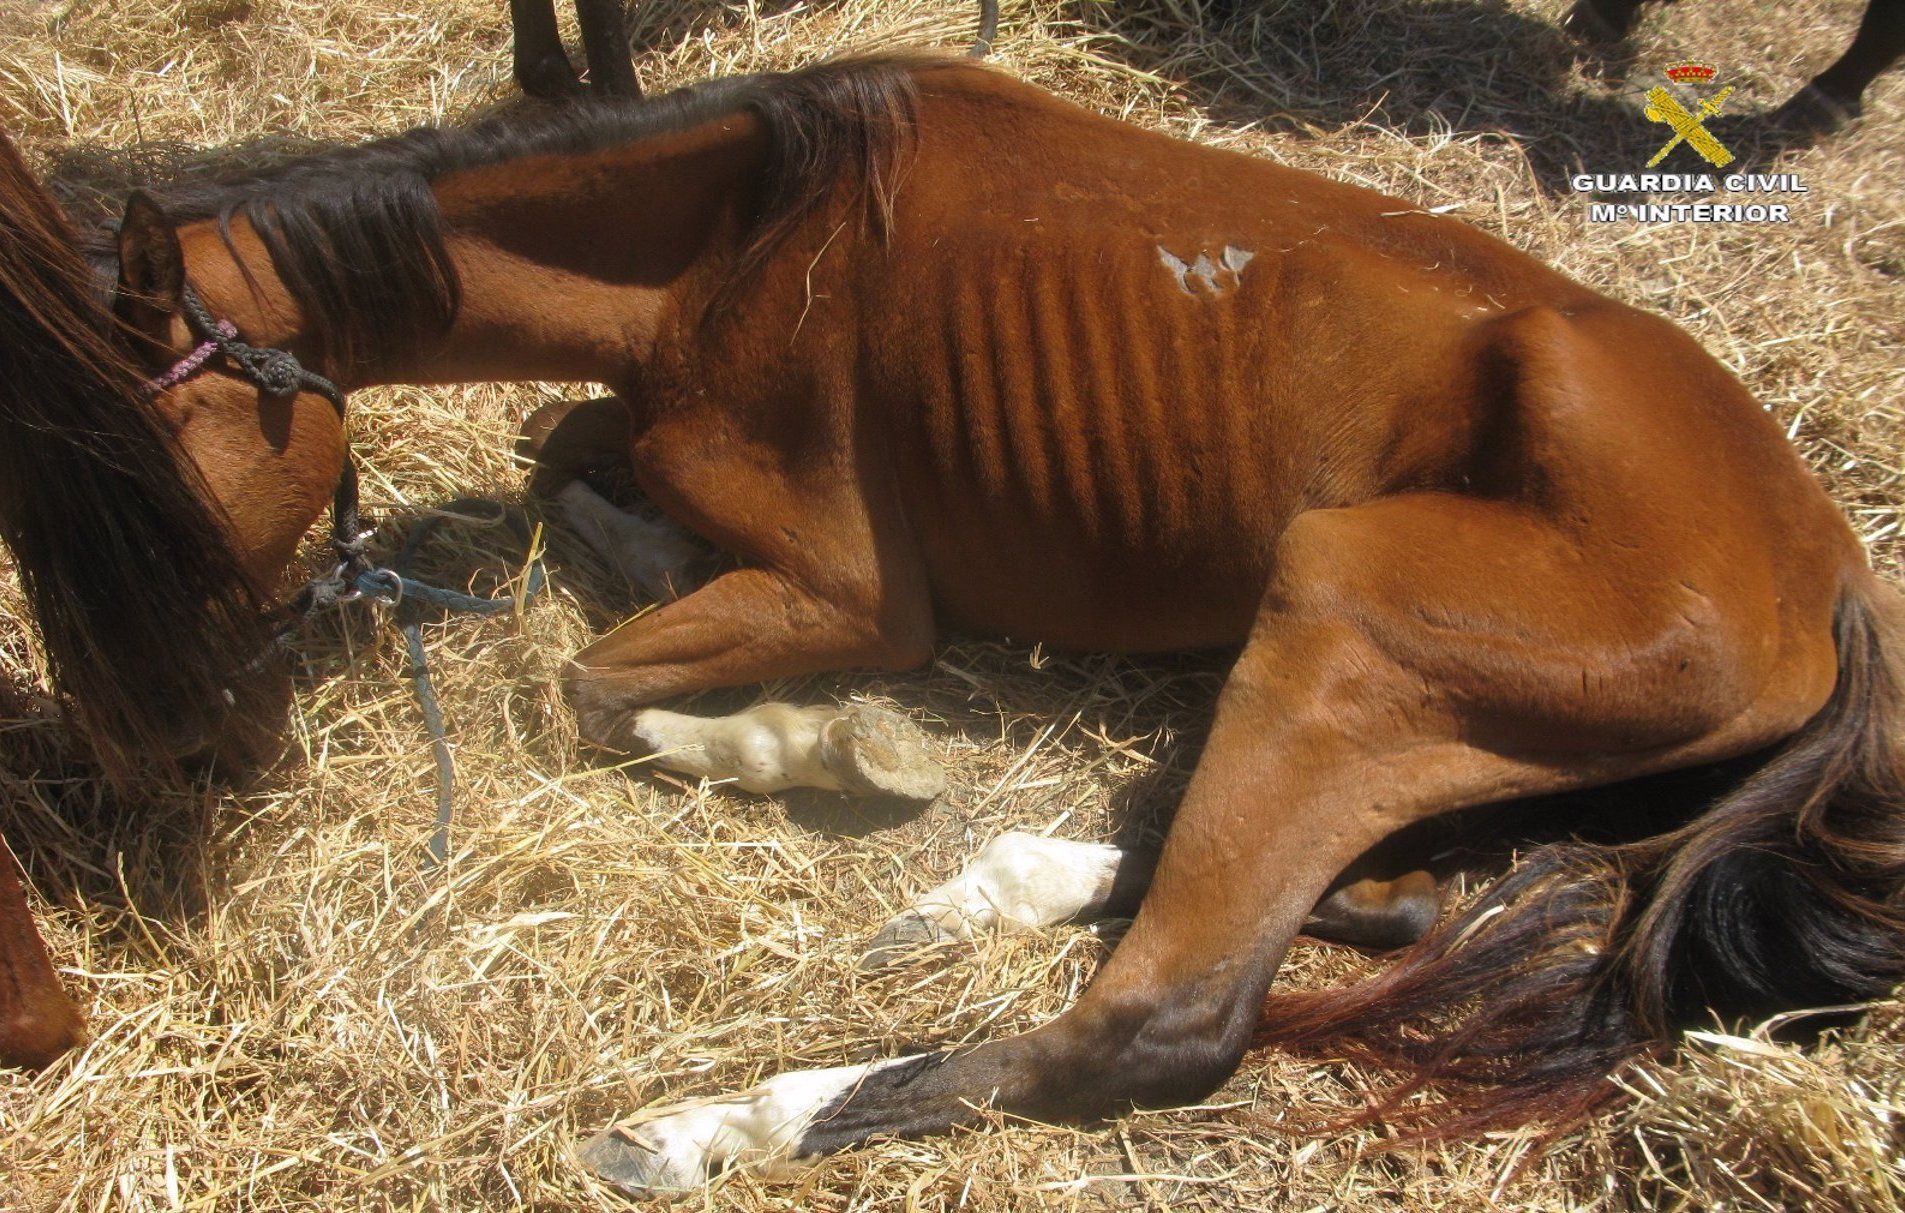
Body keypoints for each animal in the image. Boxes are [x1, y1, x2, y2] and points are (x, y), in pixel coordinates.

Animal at [4, 53, 1899, 1188]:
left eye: (135, 501)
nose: (165, 758)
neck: (739, 231)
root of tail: (1832, 562)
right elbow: (563, 462)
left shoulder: (849, 584)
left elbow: (590, 683)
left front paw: (830, 742)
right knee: (1376, 895)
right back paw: (966, 896)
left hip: (1342, 608)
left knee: (1155, 1020)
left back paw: (710, 1118)